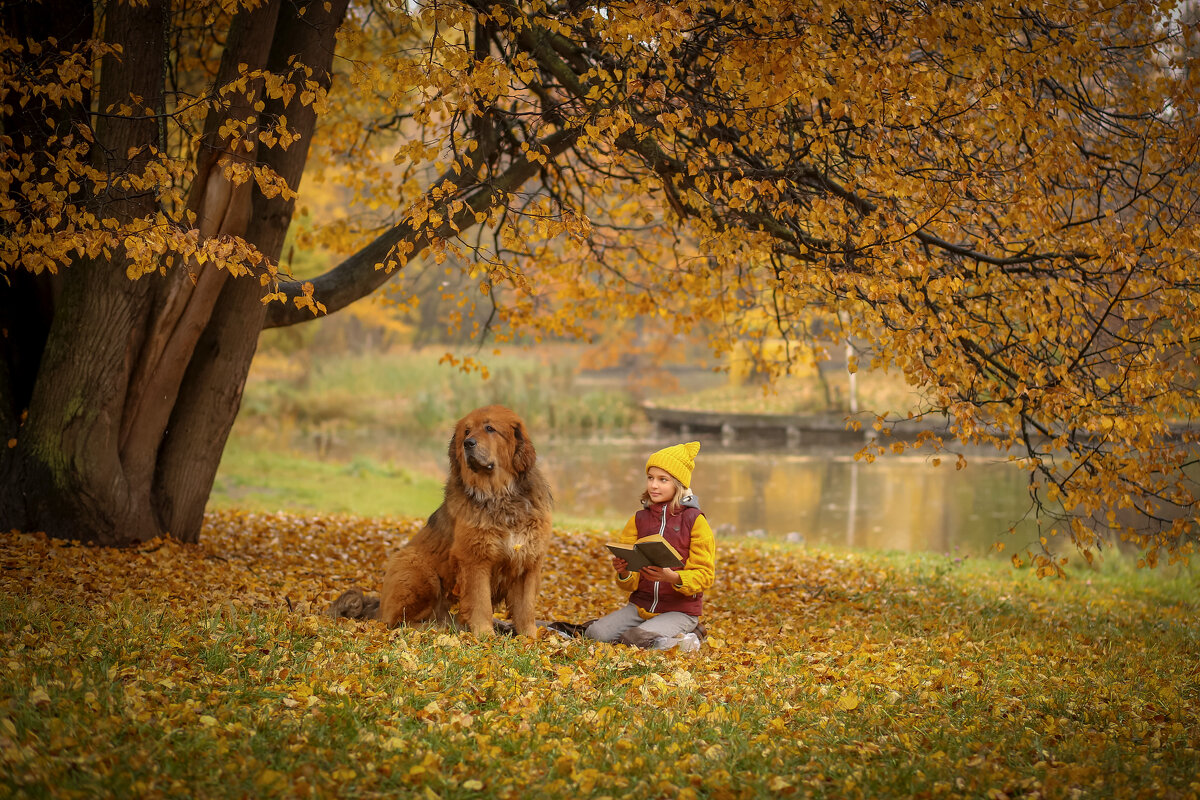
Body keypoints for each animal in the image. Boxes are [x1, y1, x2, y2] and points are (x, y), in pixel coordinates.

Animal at [372, 407, 554, 638]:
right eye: (466, 431)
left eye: (489, 428)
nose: (468, 443)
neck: (499, 496)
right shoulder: (475, 560)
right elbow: (481, 602)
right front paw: (485, 636)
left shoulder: (527, 562)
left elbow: (526, 608)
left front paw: (529, 638)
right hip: (419, 570)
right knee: (397, 621)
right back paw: (435, 627)